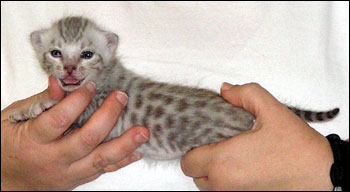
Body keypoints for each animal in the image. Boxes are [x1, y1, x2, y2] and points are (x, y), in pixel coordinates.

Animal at [8, 16, 340, 160]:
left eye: (87, 54)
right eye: (56, 53)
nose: (69, 69)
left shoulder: (91, 109)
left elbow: (62, 108)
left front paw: (35, 108)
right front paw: (24, 110)